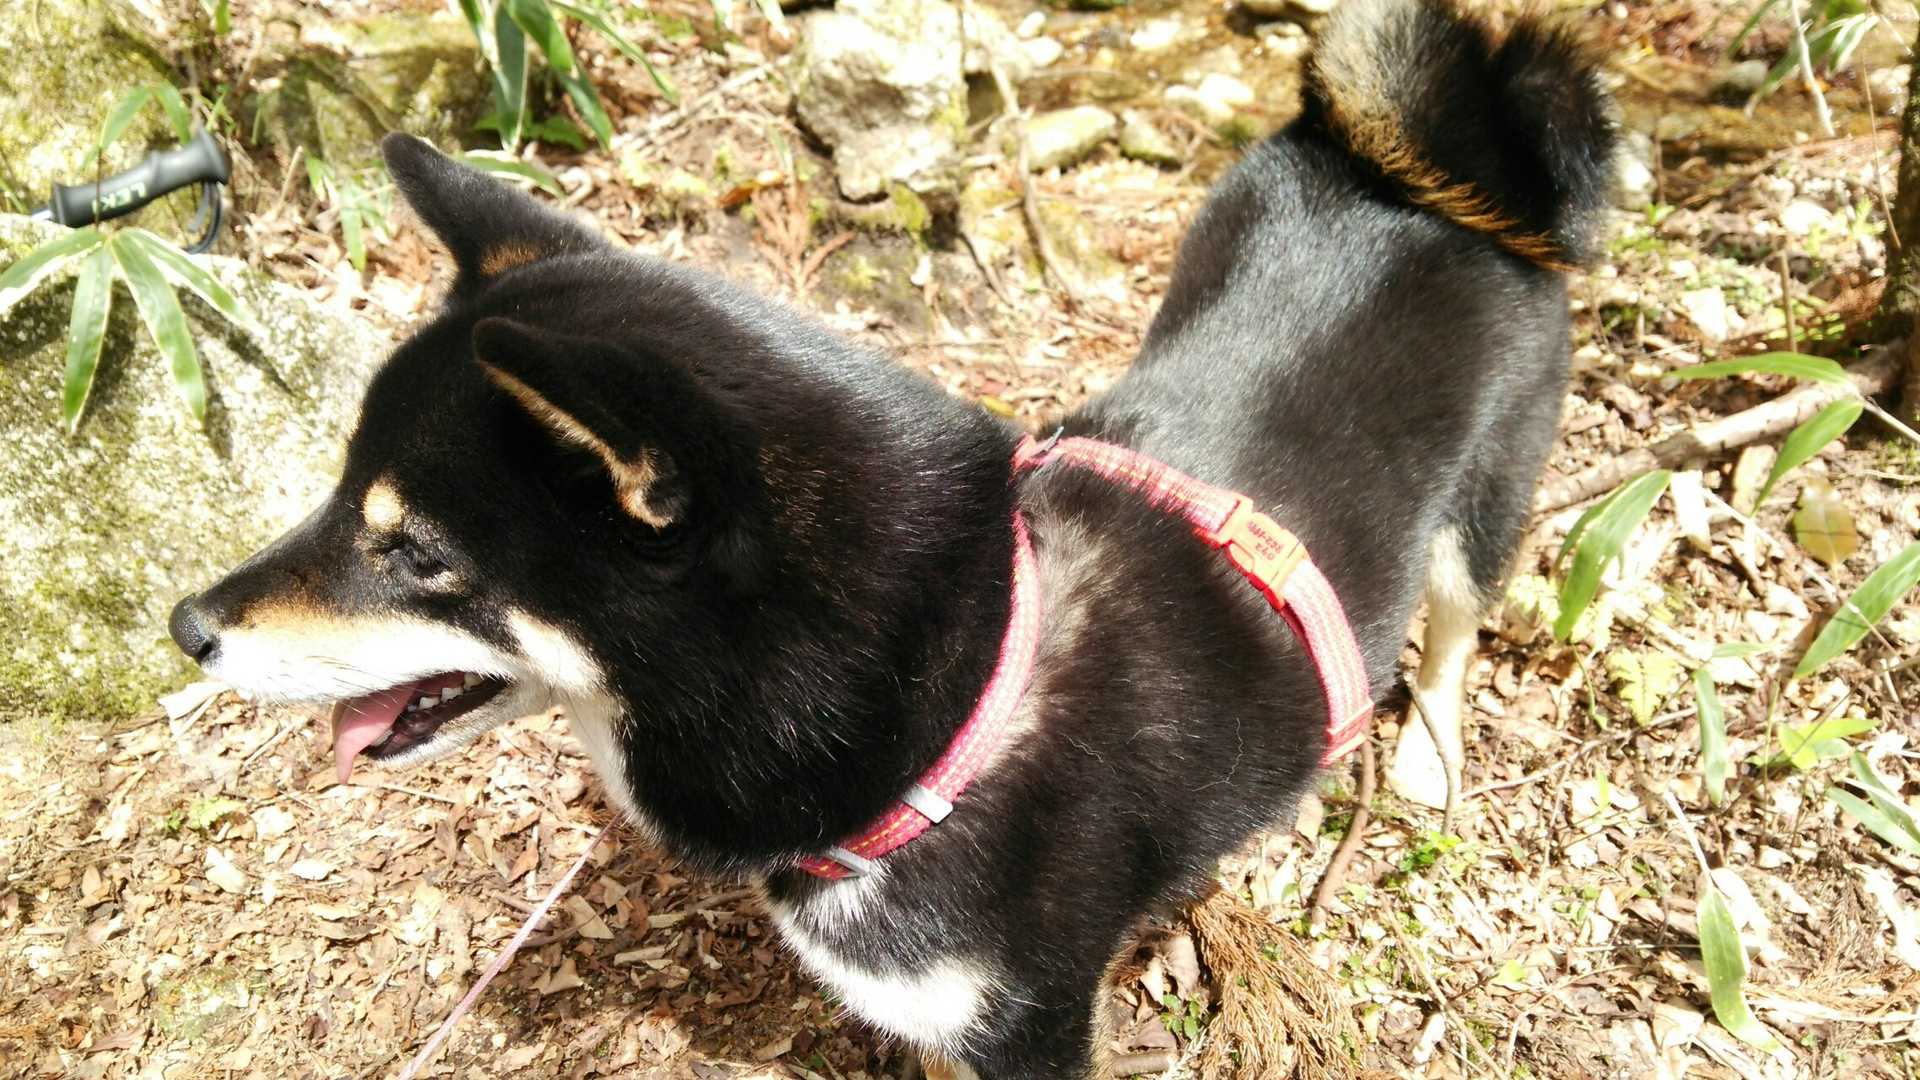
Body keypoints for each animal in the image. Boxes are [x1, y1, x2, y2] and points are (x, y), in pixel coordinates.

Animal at [167, 1, 1615, 1074]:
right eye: (341, 491)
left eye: (417, 556)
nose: (186, 626)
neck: (952, 710)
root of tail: (1433, 180)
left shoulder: (1028, 1033)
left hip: (1480, 517)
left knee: (1456, 633)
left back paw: (1424, 754)